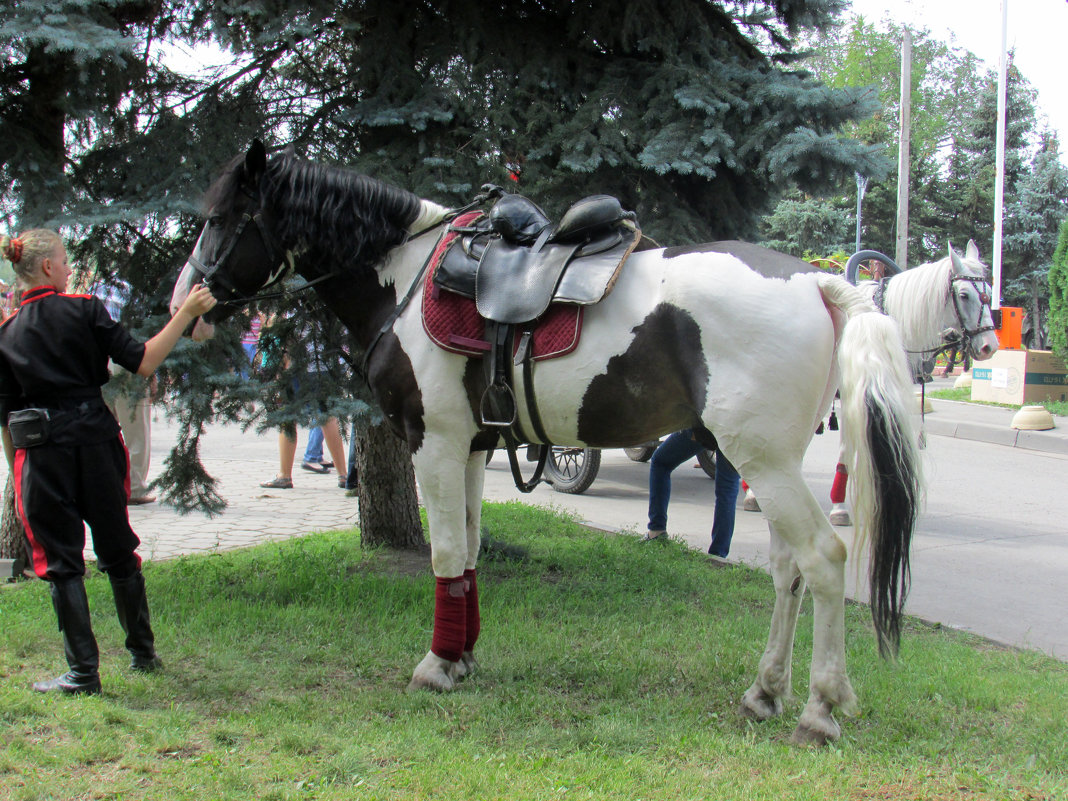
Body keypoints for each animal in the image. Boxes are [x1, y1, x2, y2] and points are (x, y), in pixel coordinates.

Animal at [170, 143, 922, 747]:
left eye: (220, 217)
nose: (186, 301)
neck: (408, 277)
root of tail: (816, 279)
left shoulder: (433, 444)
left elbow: (445, 552)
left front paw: (436, 666)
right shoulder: (472, 447)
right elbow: (470, 550)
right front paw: (464, 656)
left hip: (764, 461)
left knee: (823, 560)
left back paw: (819, 709)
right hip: (765, 462)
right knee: (788, 570)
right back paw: (764, 692)